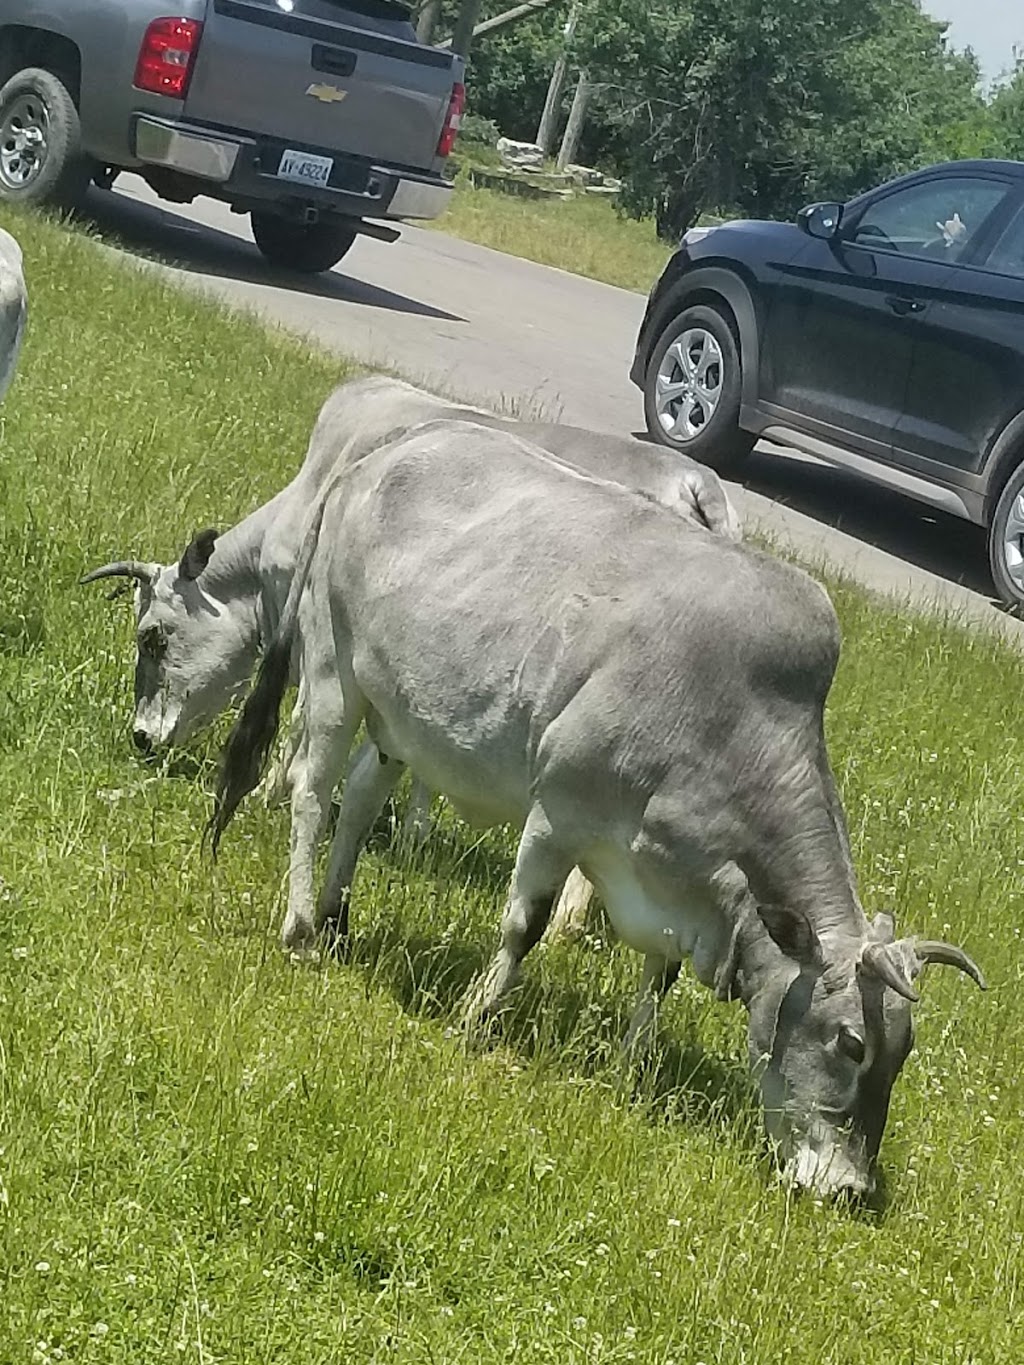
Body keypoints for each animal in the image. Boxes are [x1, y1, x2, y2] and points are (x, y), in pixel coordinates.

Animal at [208, 420, 988, 1201]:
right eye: (850, 1041)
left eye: (903, 1050)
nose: (848, 1187)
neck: (731, 713)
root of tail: (396, 445)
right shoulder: (560, 813)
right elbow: (524, 925)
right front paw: (476, 1017)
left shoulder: (672, 877)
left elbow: (659, 974)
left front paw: (633, 1065)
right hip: (333, 672)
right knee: (313, 791)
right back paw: (301, 925)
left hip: (402, 717)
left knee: (364, 797)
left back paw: (338, 919)